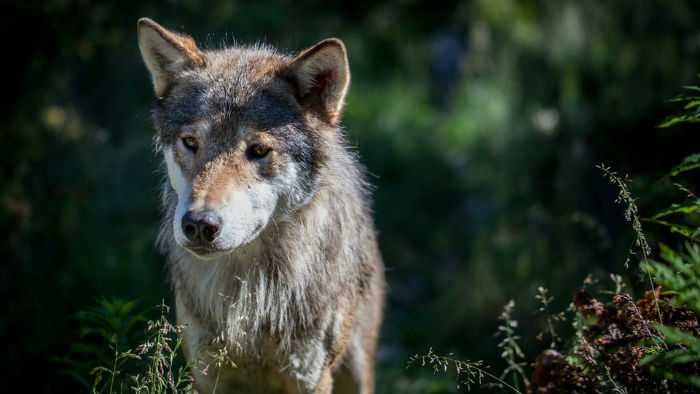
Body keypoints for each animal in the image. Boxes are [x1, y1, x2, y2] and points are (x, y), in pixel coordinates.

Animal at [137, 16, 388, 392]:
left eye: (258, 150)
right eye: (191, 142)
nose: (199, 225)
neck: (252, 292)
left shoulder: (310, 376)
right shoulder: (206, 373)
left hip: (356, 367)